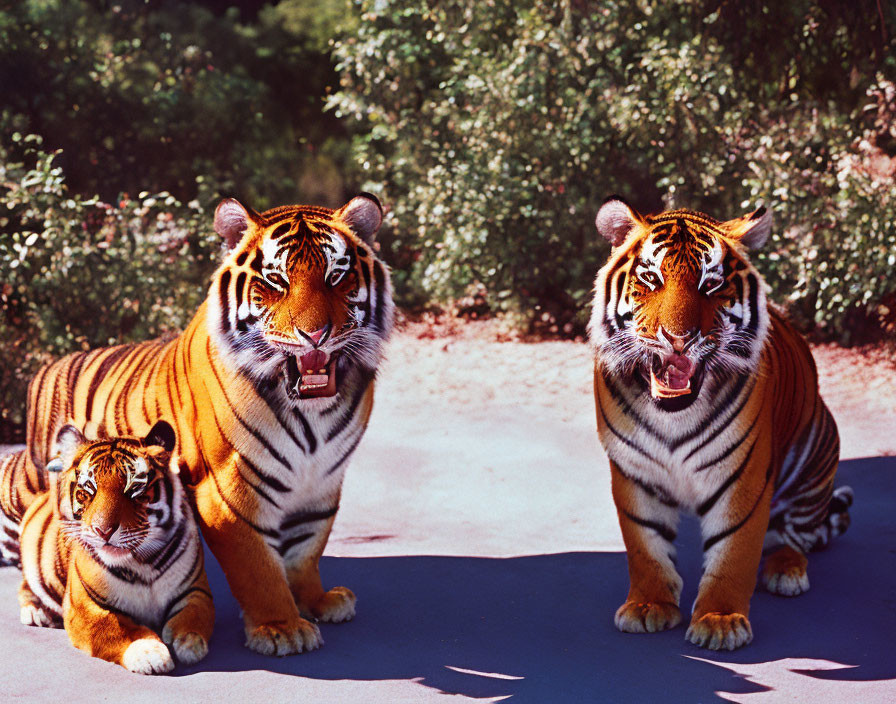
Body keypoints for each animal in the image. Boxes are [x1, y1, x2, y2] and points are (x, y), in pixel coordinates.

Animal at [3, 420, 214, 672]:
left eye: (134, 490)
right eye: (87, 492)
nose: (103, 531)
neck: (143, 563)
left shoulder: (195, 589)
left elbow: (194, 616)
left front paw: (190, 644)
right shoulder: (85, 606)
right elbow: (117, 628)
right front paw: (149, 653)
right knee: (26, 585)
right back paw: (36, 612)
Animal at [13, 192, 392, 656]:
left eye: (337, 276)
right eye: (276, 281)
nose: (315, 334)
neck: (312, 418)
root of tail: (45, 368)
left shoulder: (322, 483)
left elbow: (307, 550)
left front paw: (317, 601)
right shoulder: (226, 492)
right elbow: (258, 568)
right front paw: (281, 627)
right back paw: (35, 607)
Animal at [588, 195, 856, 652]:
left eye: (710, 285)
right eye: (651, 278)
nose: (678, 339)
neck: (673, 414)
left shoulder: (742, 477)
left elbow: (734, 550)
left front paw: (719, 620)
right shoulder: (633, 472)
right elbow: (645, 545)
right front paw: (648, 605)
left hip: (818, 455)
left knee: (797, 533)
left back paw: (785, 569)